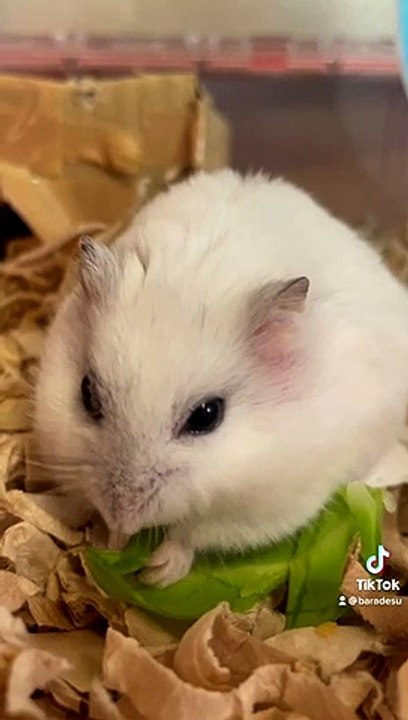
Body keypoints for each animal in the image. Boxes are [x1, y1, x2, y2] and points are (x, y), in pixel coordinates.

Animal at [33, 169, 408, 587]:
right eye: (88, 396)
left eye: (206, 416)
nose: (122, 515)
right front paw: (112, 539)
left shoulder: (259, 511)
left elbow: (191, 534)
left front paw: (156, 573)